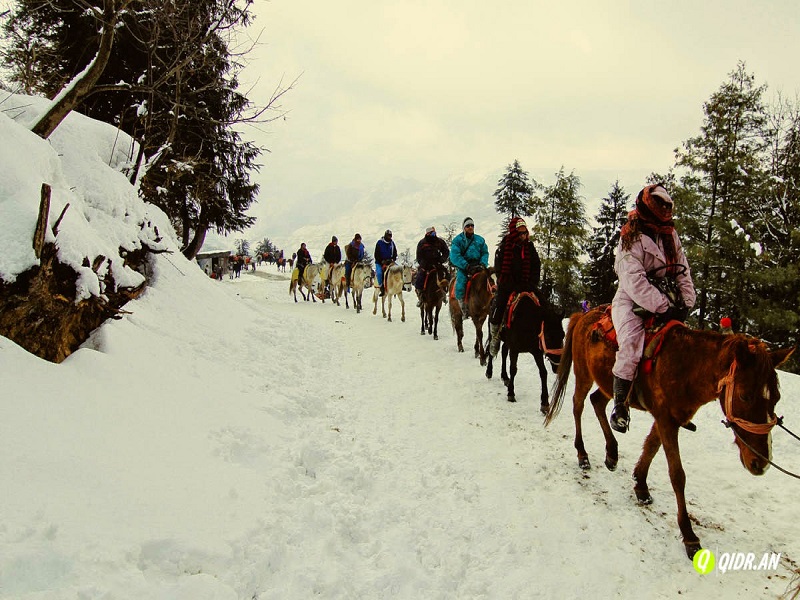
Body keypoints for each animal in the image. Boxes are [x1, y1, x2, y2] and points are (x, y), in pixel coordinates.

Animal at [543, 307, 794, 559]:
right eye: (744, 395)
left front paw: (641, 485)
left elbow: (651, 446)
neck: (688, 367)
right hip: (584, 373)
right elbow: (677, 475)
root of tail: (582, 315)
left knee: (598, 402)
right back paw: (582, 454)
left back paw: (612, 453)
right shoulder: (667, 420)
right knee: (578, 405)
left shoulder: (669, 418)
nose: (760, 463)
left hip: (606, 383)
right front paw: (689, 535)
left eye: (776, 397)